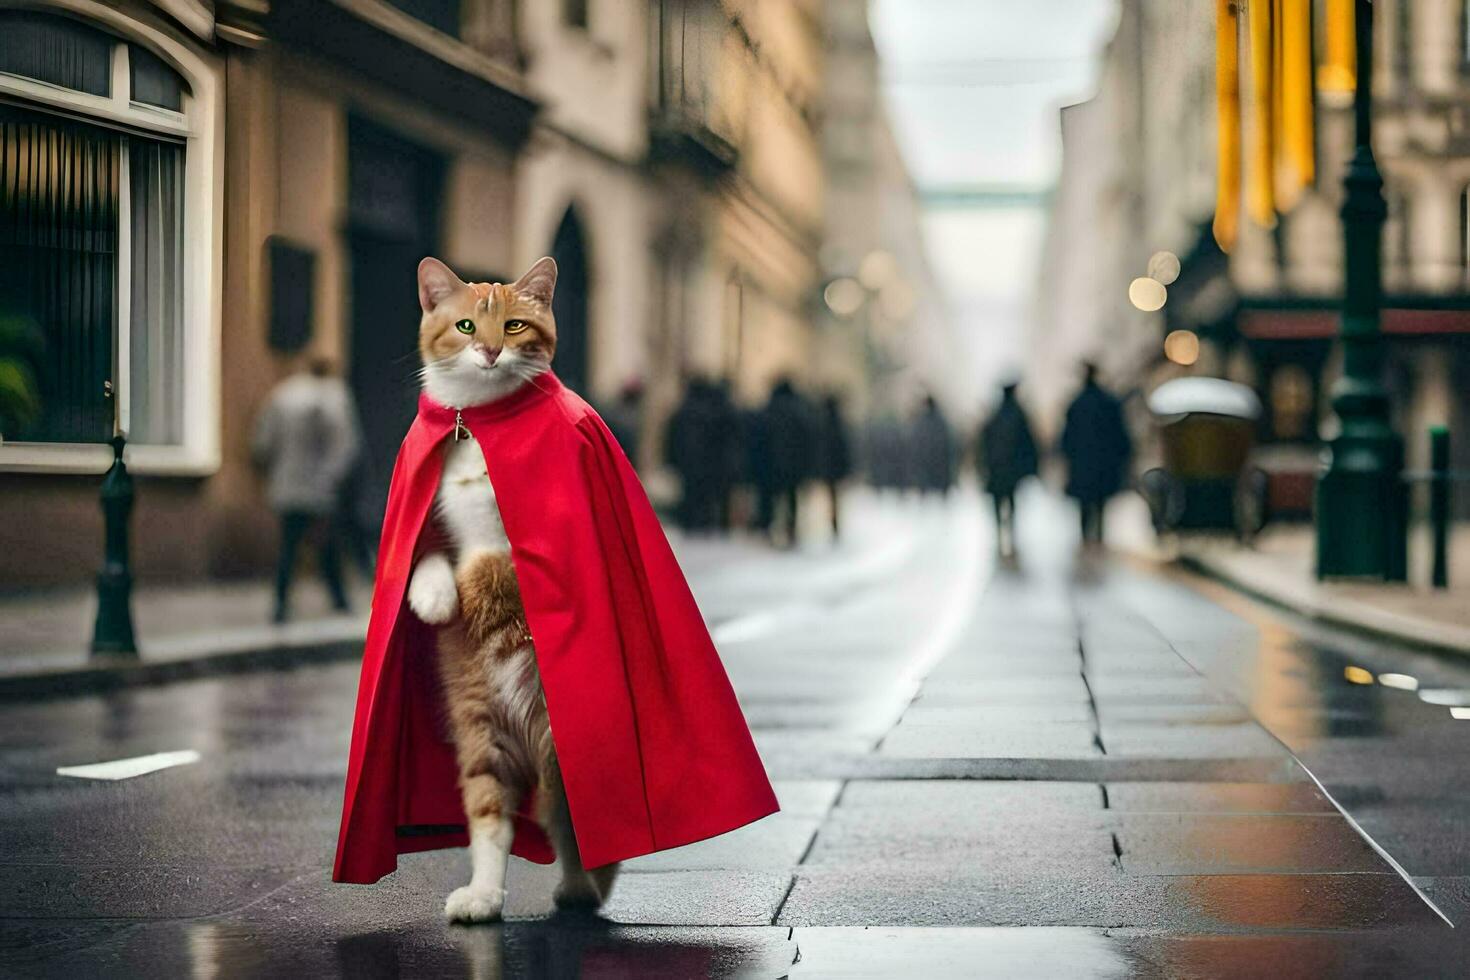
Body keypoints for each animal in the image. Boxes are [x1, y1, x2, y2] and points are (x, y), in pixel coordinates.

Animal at [405, 257, 617, 922]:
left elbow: (489, 562)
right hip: (482, 730)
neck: (477, 424)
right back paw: (483, 895)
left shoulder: (513, 547)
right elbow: (430, 554)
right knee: (492, 812)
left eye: (516, 325)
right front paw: (433, 597)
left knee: (575, 823)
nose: (492, 350)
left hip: (569, 744)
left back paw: (581, 890)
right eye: (466, 325)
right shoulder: (432, 520)